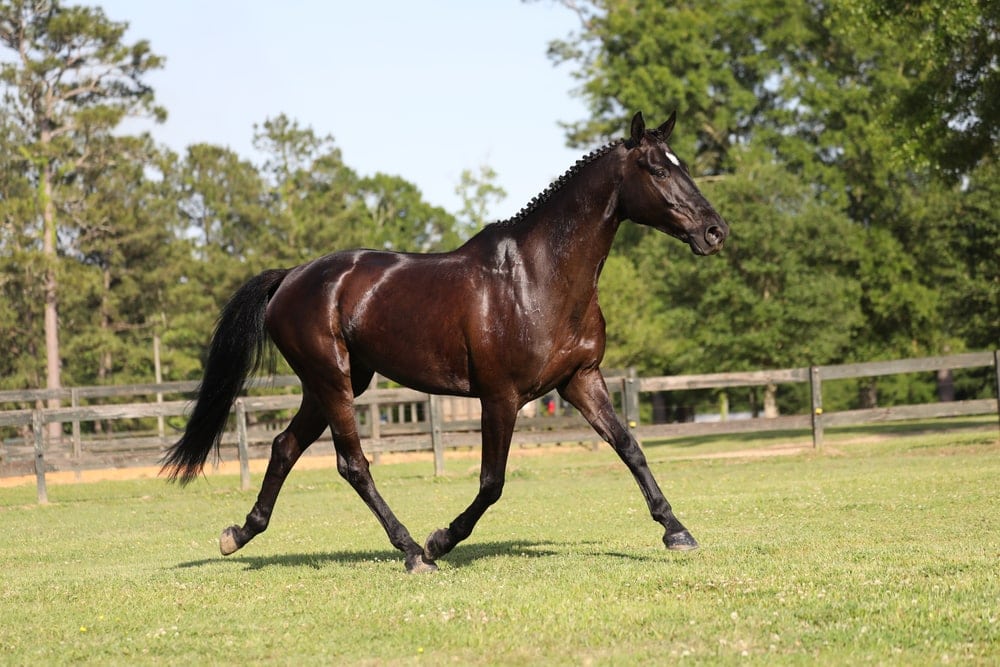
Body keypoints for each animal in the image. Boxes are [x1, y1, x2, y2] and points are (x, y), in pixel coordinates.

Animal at [161, 111, 729, 573]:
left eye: (681, 165)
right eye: (657, 170)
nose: (714, 231)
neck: (538, 276)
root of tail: (290, 278)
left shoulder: (580, 380)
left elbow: (630, 447)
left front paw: (677, 531)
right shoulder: (500, 397)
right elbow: (492, 483)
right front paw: (441, 541)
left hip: (333, 384)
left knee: (284, 447)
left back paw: (239, 534)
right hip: (332, 380)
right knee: (352, 465)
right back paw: (413, 551)